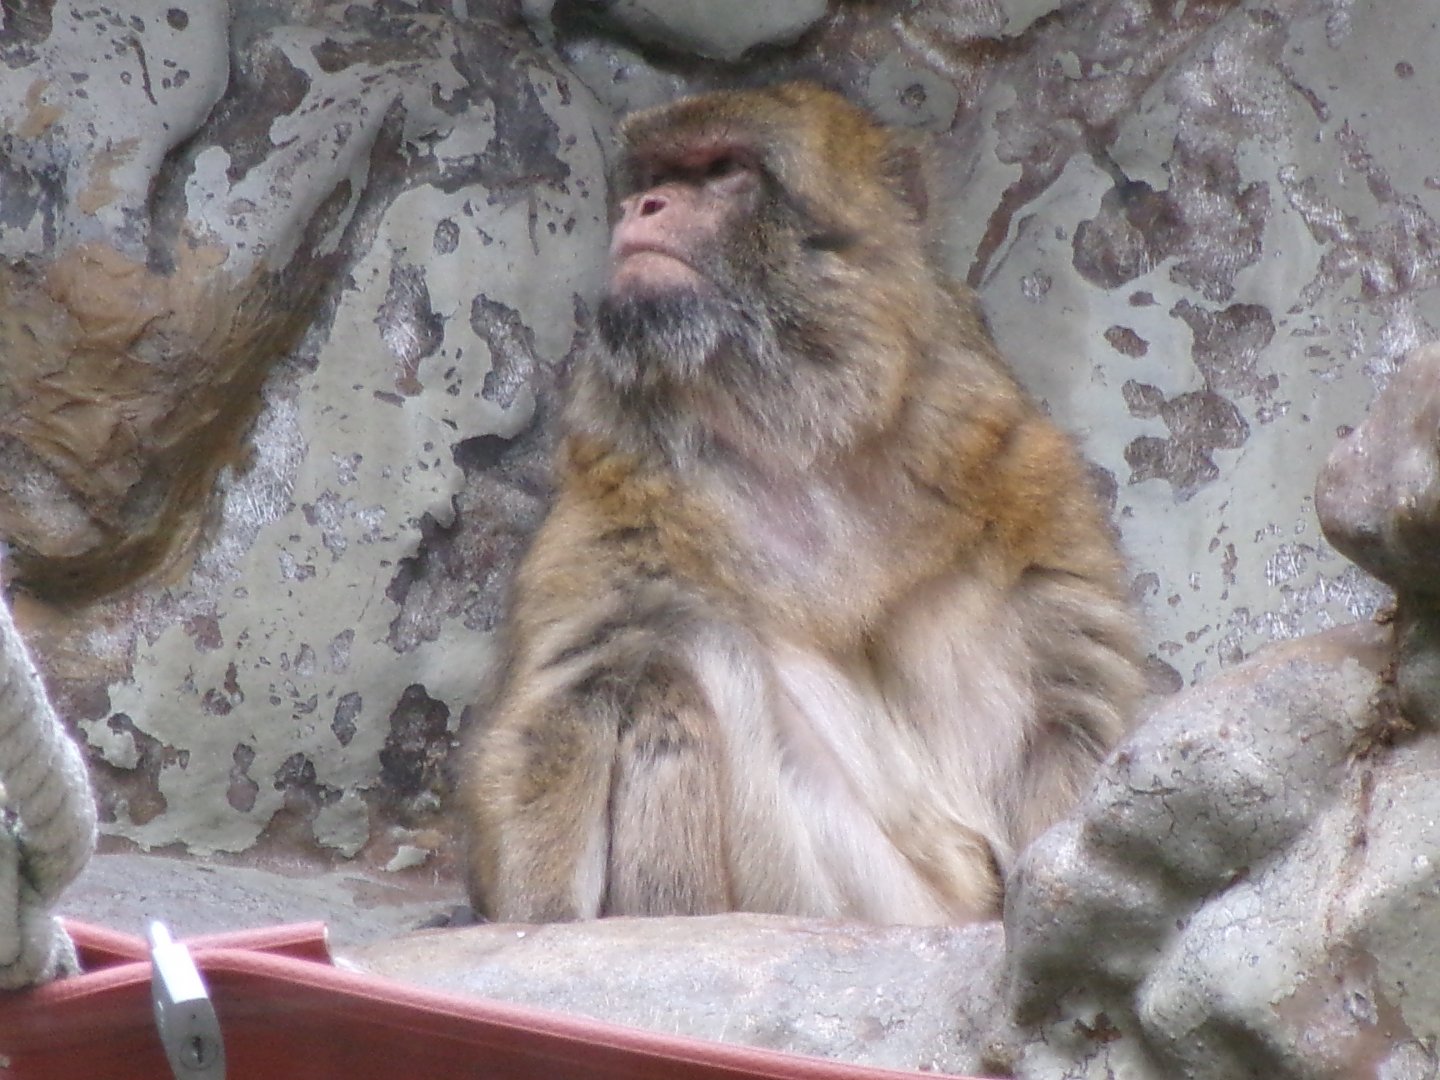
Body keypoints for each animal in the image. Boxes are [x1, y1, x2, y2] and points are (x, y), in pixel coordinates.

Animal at [458, 82, 1145, 925]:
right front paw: (541, 924)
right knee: (673, 673)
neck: (803, 443)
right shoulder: (617, 504)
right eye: (655, 174)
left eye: (722, 169)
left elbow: (1067, 720)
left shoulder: (1025, 482)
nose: (641, 206)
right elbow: (561, 711)